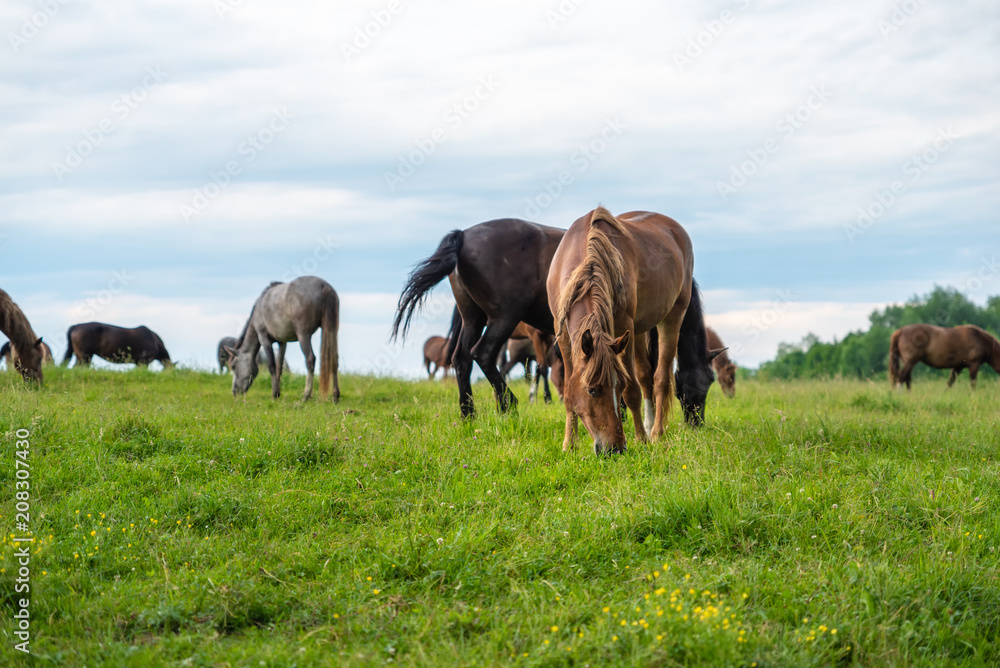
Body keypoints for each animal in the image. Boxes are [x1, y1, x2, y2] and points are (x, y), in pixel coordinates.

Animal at [388, 219, 564, 418]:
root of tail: (463, 235)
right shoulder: (541, 335)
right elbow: (545, 367)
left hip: (473, 320)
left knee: (462, 359)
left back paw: (469, 414)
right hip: (504, 317)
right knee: (483, 354)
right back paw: (507, 404)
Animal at [548, 206, 704, 452]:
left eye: (618, 386)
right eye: (592, 390)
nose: (615, 448)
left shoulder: (622, 325)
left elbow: (632, 390)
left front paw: (641, 439)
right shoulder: (563, 333)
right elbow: (568, 390)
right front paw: (569, 444)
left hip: (672, 317)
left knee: (660, 378)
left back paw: (656, 432)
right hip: (637, 331)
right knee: (645, 376)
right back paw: (649, 426)